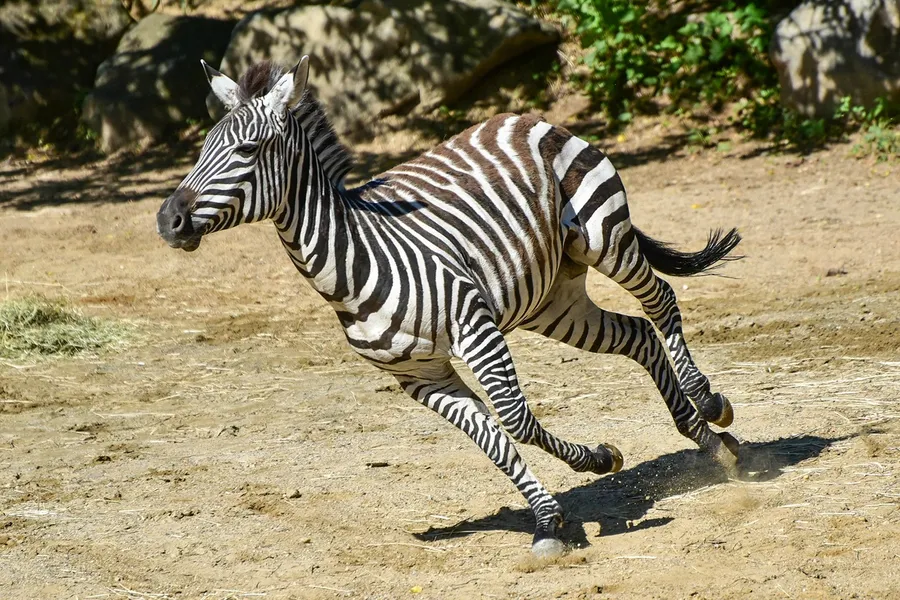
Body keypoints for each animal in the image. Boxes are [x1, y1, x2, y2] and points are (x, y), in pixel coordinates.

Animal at [157, 56, 742, 557]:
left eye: (248, 151)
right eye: (202, 147)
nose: (168, 220)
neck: (354, 262)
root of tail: (518, 115)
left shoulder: (476, 330)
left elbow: (515, 421)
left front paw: (578, 483)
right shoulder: (421, 377)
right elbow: (492, 442)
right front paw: (558, 510)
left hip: (604, 235)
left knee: (660, 300)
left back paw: (709, 403)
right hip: (551, 298)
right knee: (635, 334)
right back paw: (709, 443)